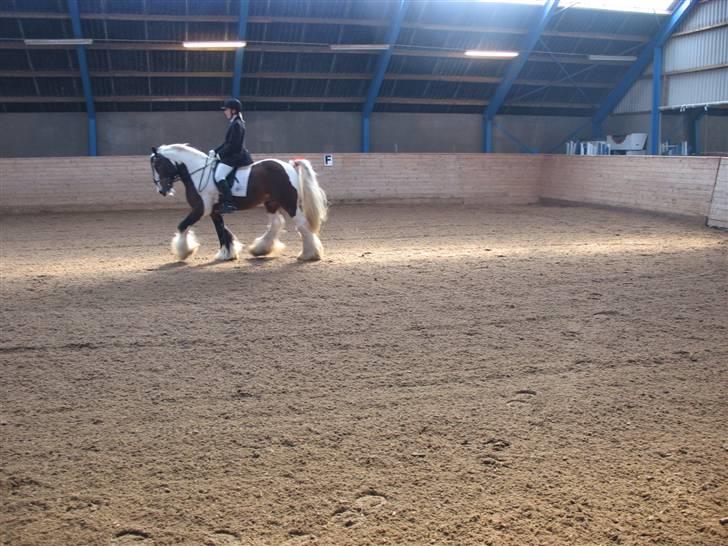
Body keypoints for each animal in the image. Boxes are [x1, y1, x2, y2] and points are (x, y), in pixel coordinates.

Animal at [149, 143, 328, 262]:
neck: (198, 172)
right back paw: (260, 249)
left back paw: (309, 254)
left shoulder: (201, 209)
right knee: (276, 223)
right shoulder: (214, 211)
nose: (162, 190)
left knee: (302, 225)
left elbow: (182, 226)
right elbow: (221, 230)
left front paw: (184, 251)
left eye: (157, 164)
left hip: (289, 203)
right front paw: (227, 253)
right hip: (271, 202)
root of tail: (289, 165)